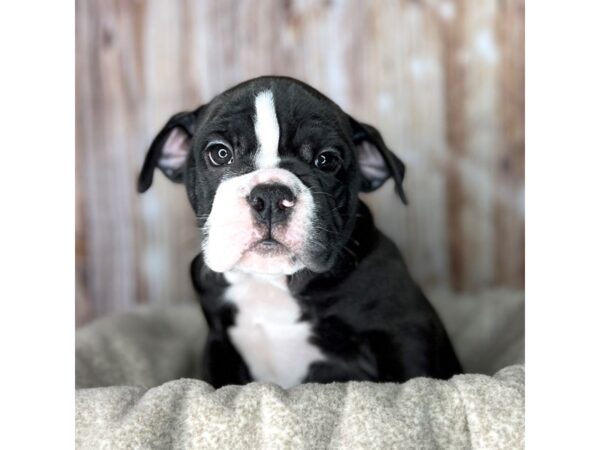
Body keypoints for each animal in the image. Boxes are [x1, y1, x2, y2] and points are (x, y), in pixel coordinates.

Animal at [138, 75, 462, 388]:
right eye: (219, 153)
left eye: (327, 160)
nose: (270, 196)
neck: (270, 284)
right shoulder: (219, 347)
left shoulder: (405, 333)